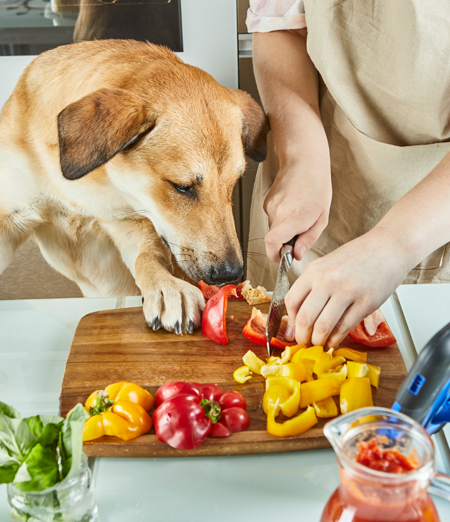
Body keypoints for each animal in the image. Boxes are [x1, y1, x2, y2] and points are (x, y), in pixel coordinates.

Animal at [0, 40, 268, 334]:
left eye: (233, 183)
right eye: (182, 187)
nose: (231, 274)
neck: (84, 184)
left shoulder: (131, 222)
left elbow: (147, 257)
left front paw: (166, 286)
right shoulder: (8, 219)